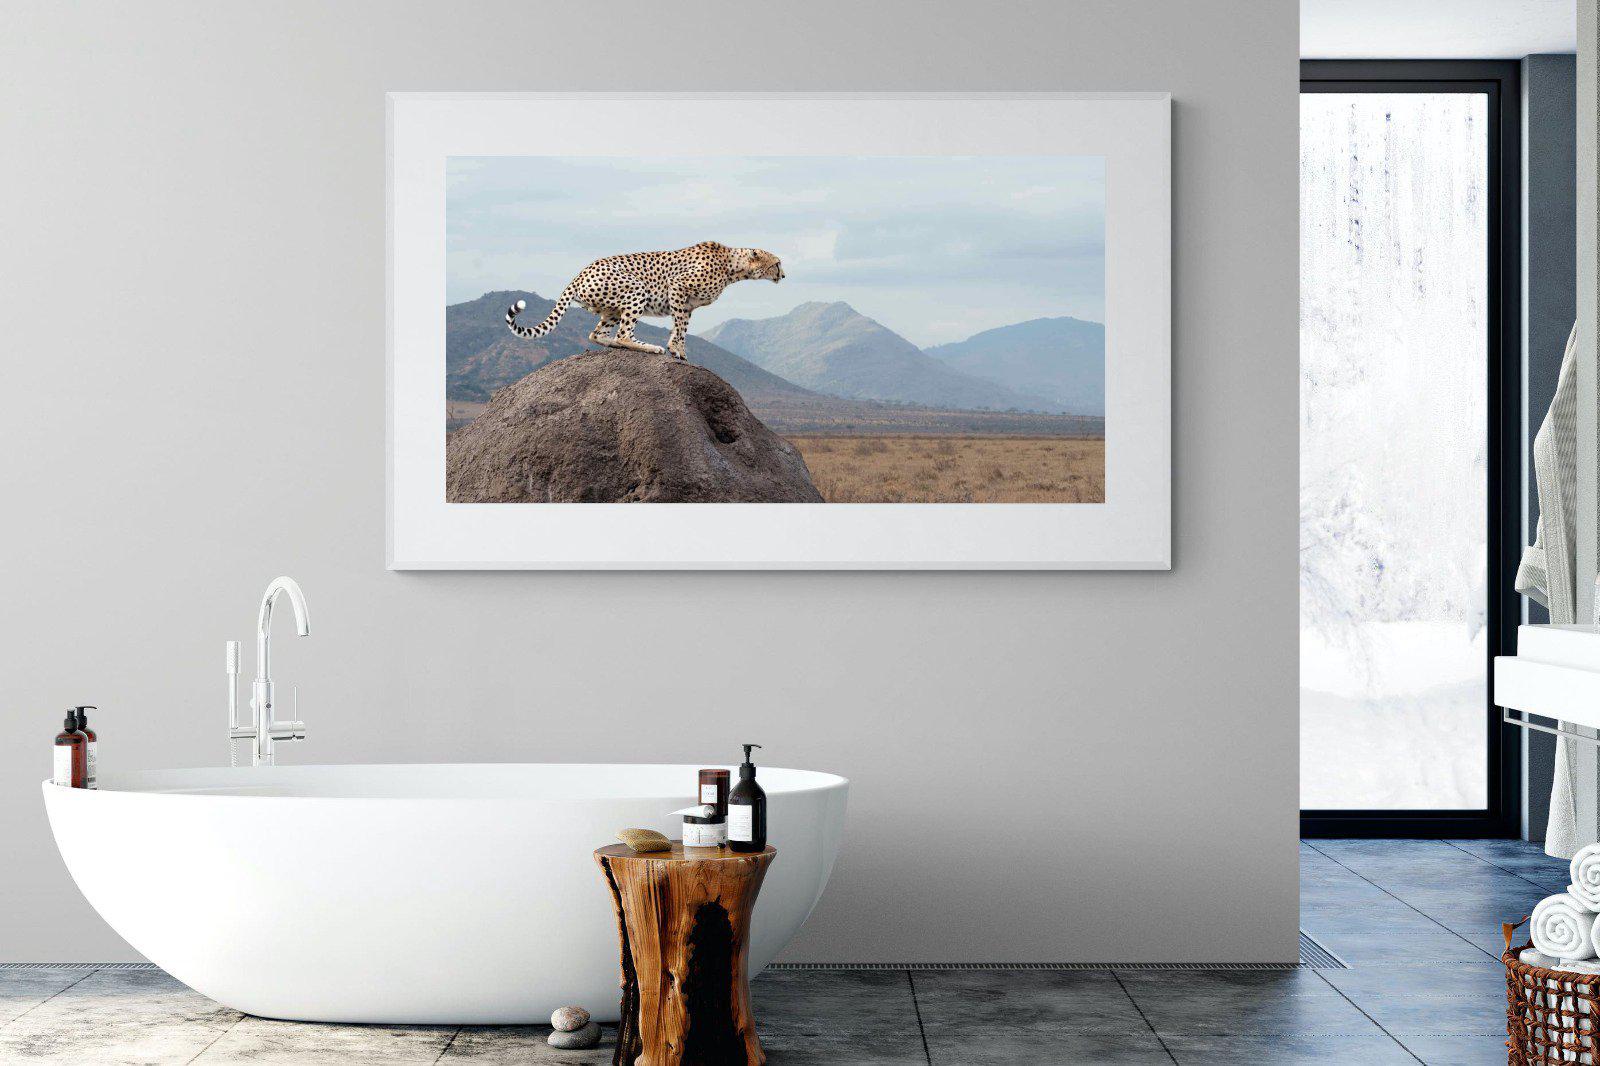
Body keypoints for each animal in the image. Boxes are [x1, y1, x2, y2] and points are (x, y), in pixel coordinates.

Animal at [505, 241, 784, 360]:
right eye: (777, 263)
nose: (783, 275)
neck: (732, 267)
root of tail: (580, 272)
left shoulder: (687, 304)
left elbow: (681, 327)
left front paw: (679, 349)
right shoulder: (677, 287)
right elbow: (680, 327)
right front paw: (675, 350)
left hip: (611, 309)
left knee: (597, 334)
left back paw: (615, 345)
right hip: (636, 289)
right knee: (623, 334)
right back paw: (649, 347)